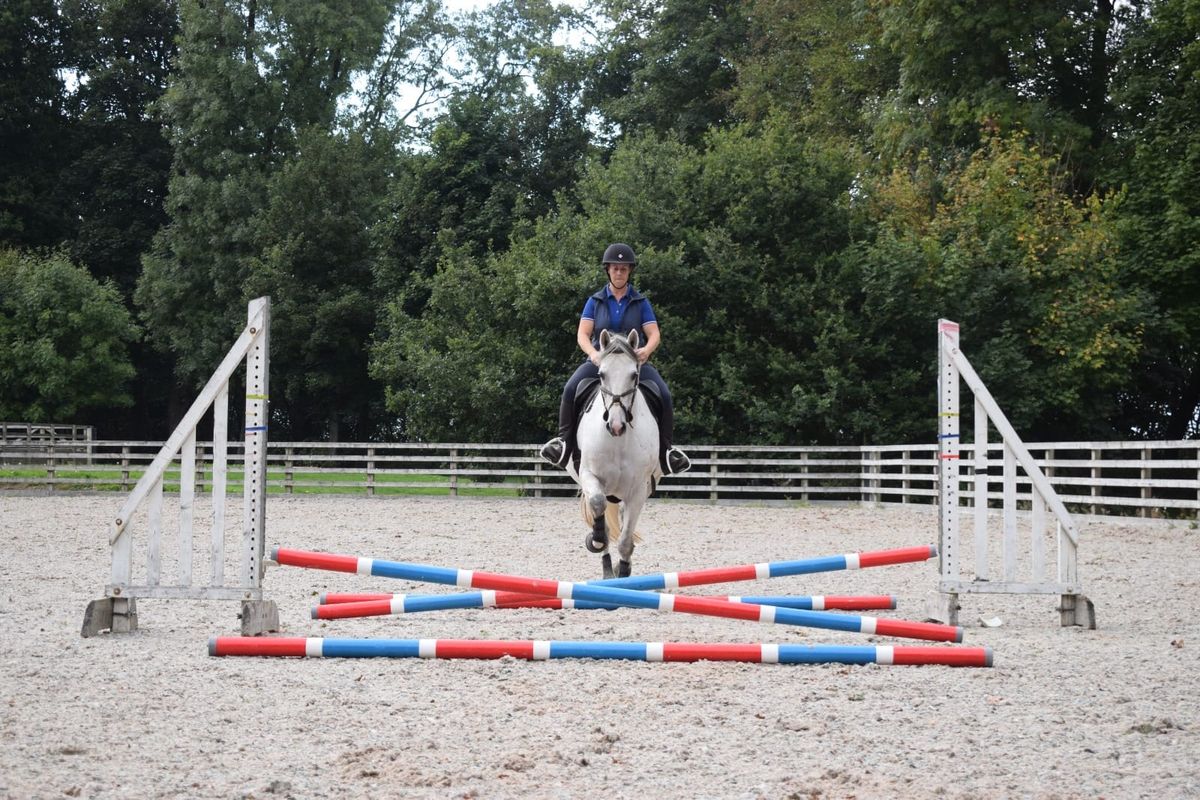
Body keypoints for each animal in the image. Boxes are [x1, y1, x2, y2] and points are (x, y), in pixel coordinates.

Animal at [566, 328, 662, 578]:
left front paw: (624, 570)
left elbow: (626, 540)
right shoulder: (589, 476)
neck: (618, 441)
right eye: (601, 374)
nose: (616, 425)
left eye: (634, 375)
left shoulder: (638, 490)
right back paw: (606, 566)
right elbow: (598, 505)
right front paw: (596, 539)